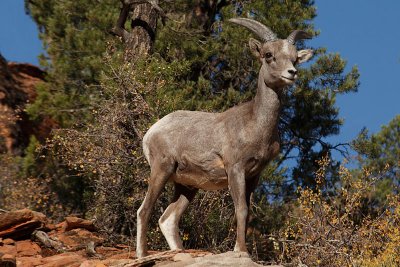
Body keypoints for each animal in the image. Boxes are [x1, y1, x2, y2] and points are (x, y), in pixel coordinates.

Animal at [136, 17, 314, 258]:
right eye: (268, 55)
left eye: (295, 58)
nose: (291, 72)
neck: (255, 124)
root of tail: (152, 132)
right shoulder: (235, 169)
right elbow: (241, 209)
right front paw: (242, 251)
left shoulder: (253, 176)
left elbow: (247, 213)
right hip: (161, 170)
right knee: (144, 210)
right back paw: (142, 255)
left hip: (187, 186)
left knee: (168, 219)